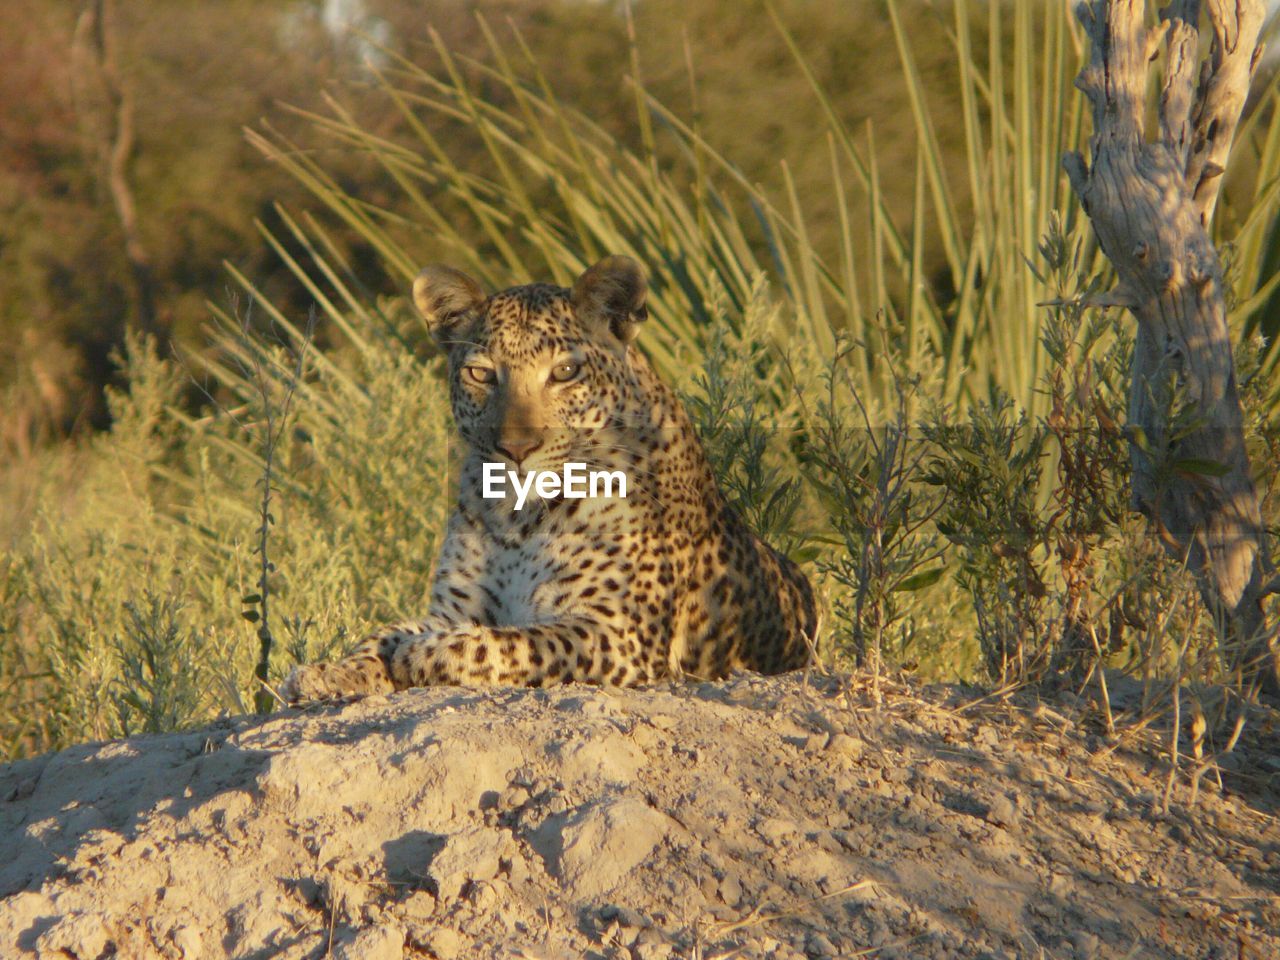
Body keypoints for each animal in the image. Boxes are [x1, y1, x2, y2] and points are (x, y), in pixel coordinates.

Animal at [284, 256, 814, 701]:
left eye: (565, 372)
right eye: (481, 374)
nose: (516, 449)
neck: (518, 516)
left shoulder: (618, 634)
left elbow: (510, 642)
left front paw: (424, 653)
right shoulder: (452, 610)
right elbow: (385, 631)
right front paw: (328, 671)